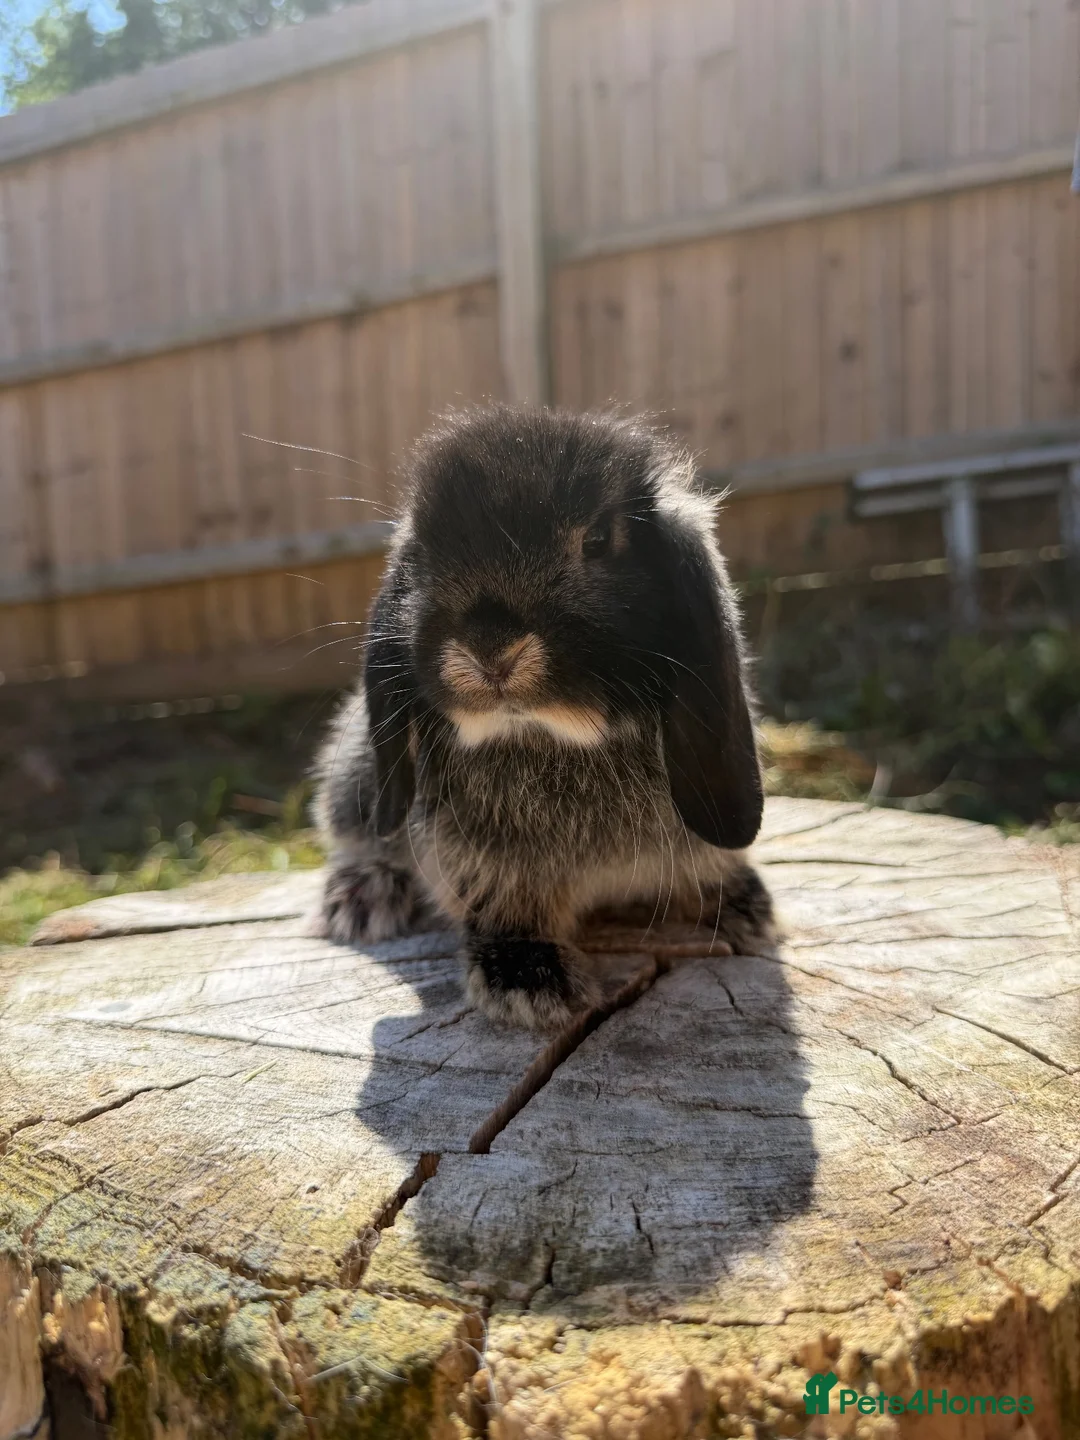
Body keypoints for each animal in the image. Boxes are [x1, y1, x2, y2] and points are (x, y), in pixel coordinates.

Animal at [312, 405, 775, 1030]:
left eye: (598, 540)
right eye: (423, 555)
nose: (489, 648)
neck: (553, 735)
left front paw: (745, 909)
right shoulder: (483, 865)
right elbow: (506, 909)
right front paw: (530, 982)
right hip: (358, 778)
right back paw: (362, 896)